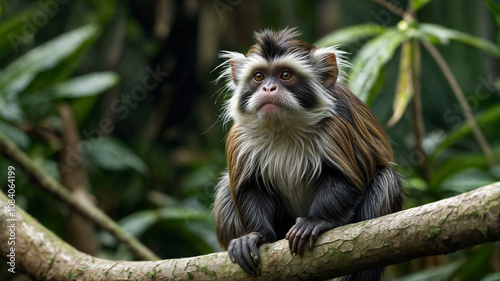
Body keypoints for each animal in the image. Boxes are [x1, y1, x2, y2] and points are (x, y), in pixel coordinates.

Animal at [213, 27, 404, 278]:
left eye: (285, 75)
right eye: (259, 77)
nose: (268, 89)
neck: (285, 128)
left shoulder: (337, 127)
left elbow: (348, 178)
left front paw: (315, 221)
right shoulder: (240, 138)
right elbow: (248, 187)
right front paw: (256, 235)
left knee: (385, 181)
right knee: (227, 186)